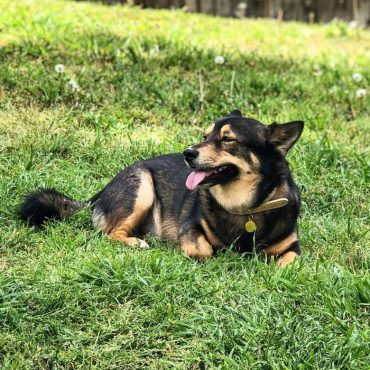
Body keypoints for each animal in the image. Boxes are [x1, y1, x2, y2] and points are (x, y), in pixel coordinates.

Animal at [18, 110, 304, 266]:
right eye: (205, 136)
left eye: (227, 139)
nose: (187, 153)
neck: (244, 207)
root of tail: (98, 193)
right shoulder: (190, 229)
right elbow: (203, 250)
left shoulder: (293, 247)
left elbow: (289, 264)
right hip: (142, 186)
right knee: (109, 233)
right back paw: (137, 242)